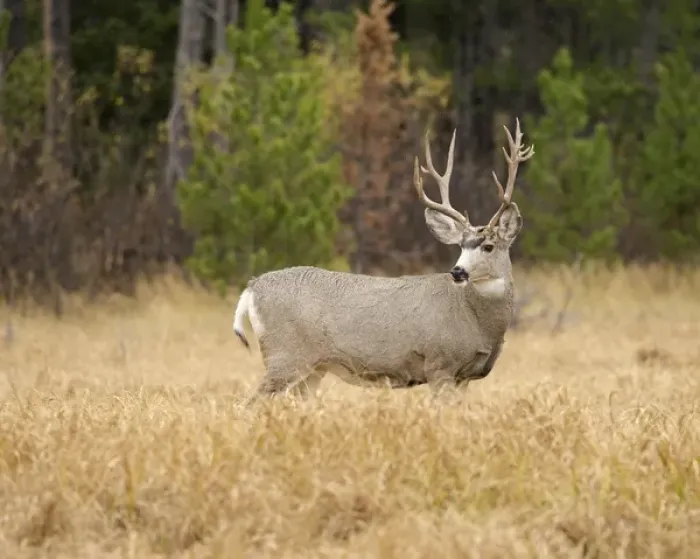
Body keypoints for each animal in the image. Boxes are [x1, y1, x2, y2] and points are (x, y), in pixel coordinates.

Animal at [233, 119, 534, 404]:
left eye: (488, 246)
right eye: (461, 246)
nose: (458, 271)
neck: (476, 321)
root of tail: (252, 287)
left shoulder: (465, 377)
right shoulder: (439, 363)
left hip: (313, 369)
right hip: (285, 354)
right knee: (249, 404)